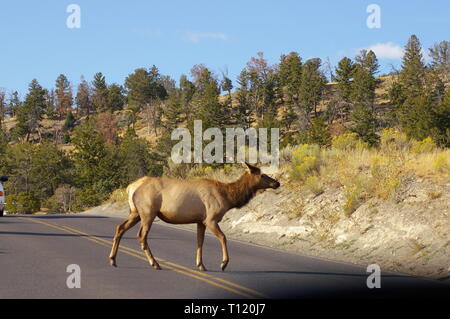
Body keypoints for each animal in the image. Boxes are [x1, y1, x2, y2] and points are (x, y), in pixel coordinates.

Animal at [107, 164, 280, 272]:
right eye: (263, 174)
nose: (277, 183)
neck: (228, 197)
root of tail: (131, 188)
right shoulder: (210, 219)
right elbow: (223, 237)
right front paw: (223, 263)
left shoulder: (200, 221)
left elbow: (199, 242)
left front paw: (201, 265)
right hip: (148, 212)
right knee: (141, 236)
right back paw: (155, 263)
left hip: (135, 212)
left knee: (120, 228)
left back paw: (113, 260)